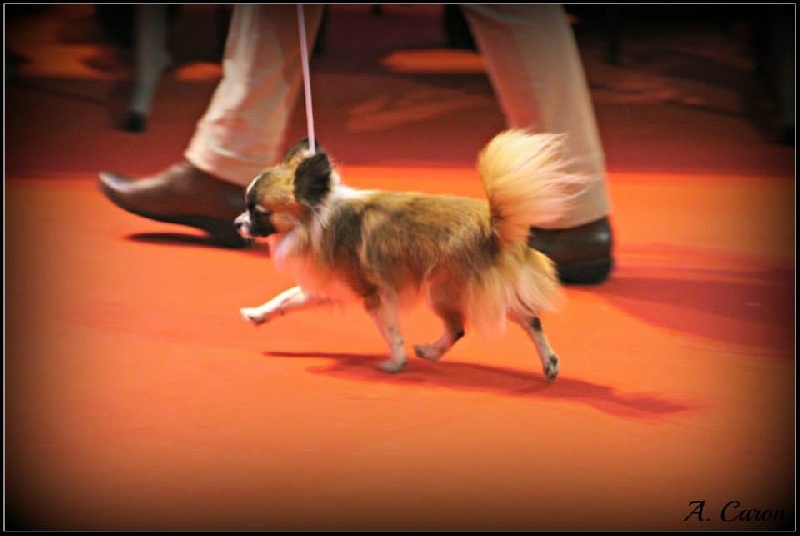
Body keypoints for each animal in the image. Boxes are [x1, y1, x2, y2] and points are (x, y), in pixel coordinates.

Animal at [235, 130, 590, 380]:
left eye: (258, 212)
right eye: (246, 207)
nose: (238, 223)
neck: (314, 220)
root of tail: (494, 223)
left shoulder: (375, 295)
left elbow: (391, 332)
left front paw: (395, 362)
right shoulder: (326, 287)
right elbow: (285, 299)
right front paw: (258, 314)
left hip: (443, 290)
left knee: (459, 327)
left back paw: (431, 353)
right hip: (487, 289)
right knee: (530, 319)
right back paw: (549, 363)